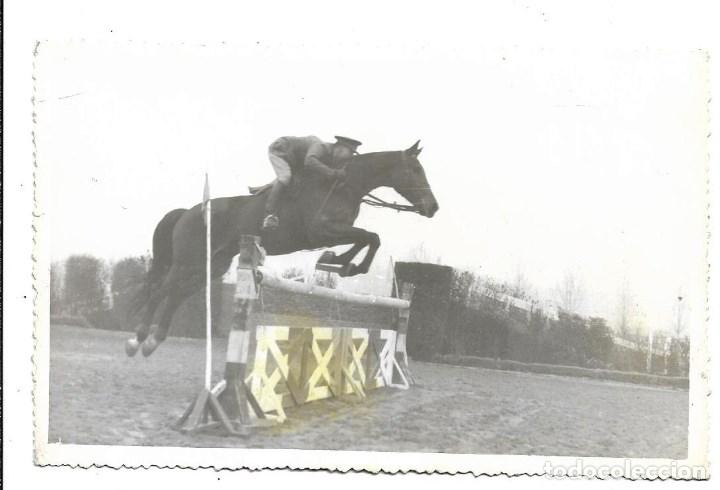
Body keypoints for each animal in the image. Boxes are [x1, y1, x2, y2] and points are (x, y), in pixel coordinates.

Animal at [125, 140, 439, 357]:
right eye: (415, 170)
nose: (433, 207)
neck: (343, 184)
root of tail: (189, 211)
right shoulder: (321, 230)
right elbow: (369, 237)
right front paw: (344, 263)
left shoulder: (332, 233)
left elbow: (368, 238)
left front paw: (340, 262)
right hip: (187, 262)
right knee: (161, 291)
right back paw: (136, 339)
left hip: (211, 267)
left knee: (176, 295)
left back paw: (152, 341)